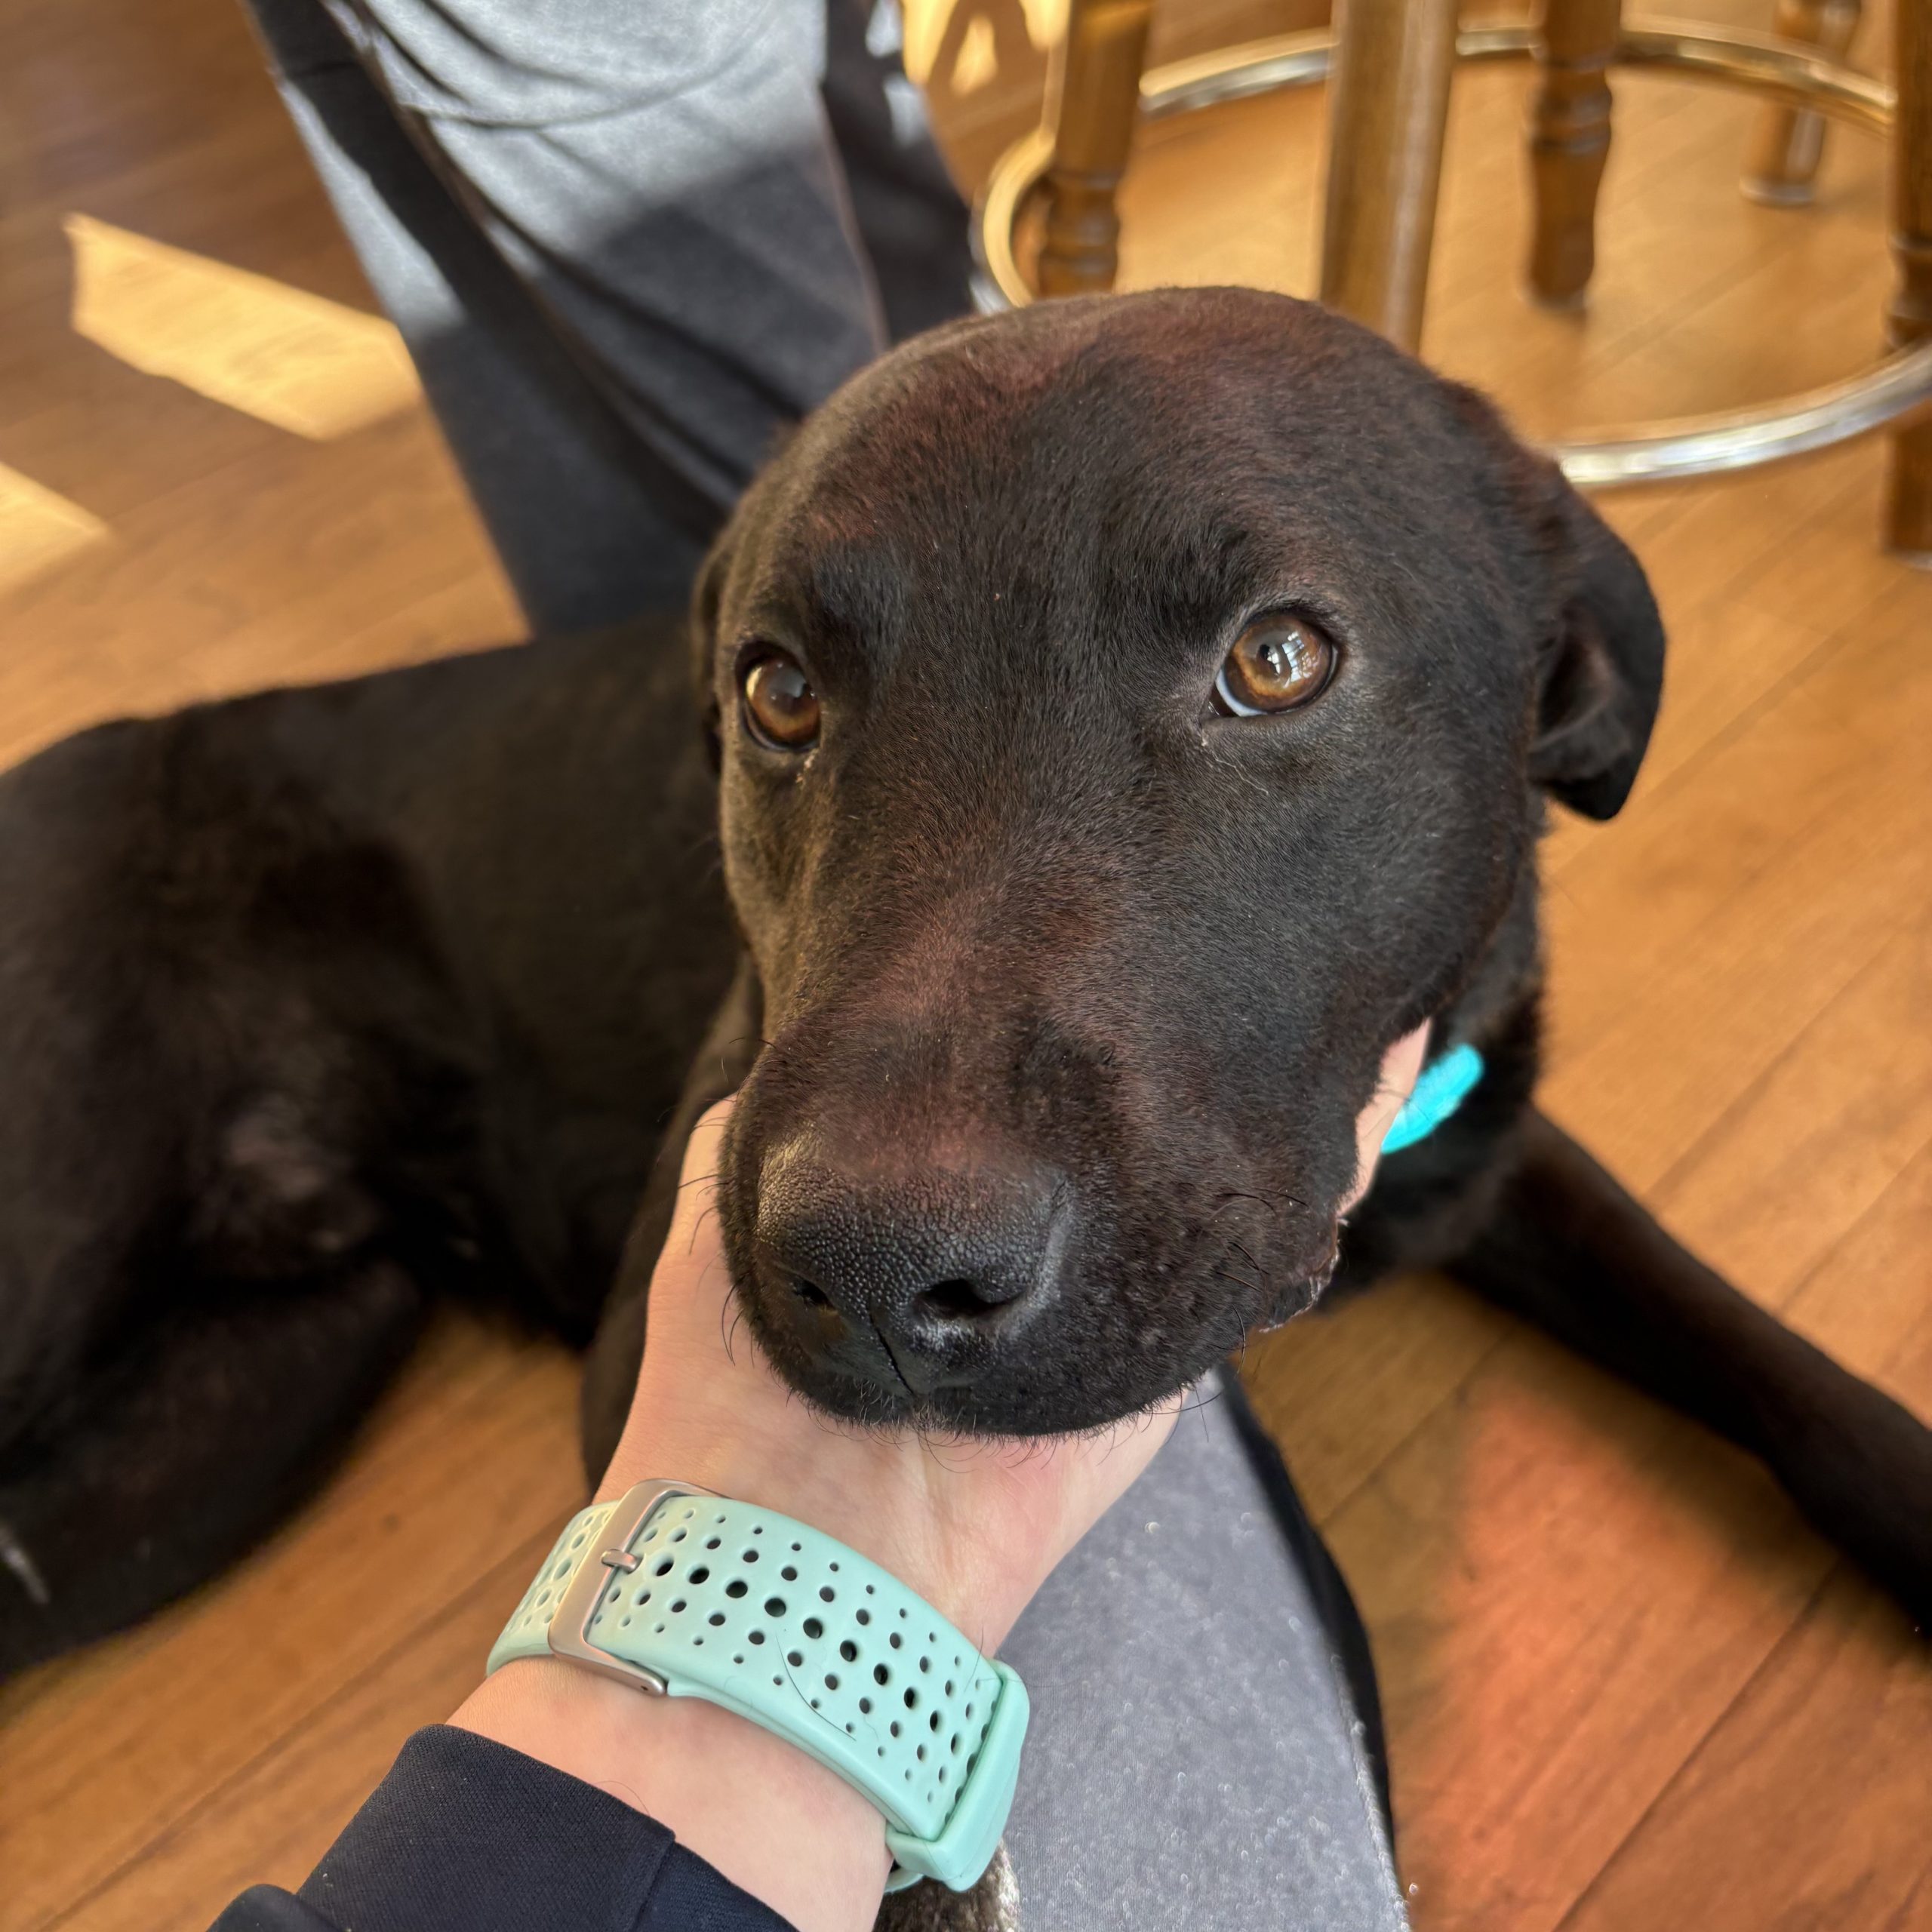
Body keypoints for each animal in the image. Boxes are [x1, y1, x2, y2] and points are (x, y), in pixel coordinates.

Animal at [2, 290, 1926, 1763]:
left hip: (236, 1408)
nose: (869, 1270)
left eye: (1279, 660)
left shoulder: (1477, 1132)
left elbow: (1721, 1319)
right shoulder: (644, 1348)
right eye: (776, 690)